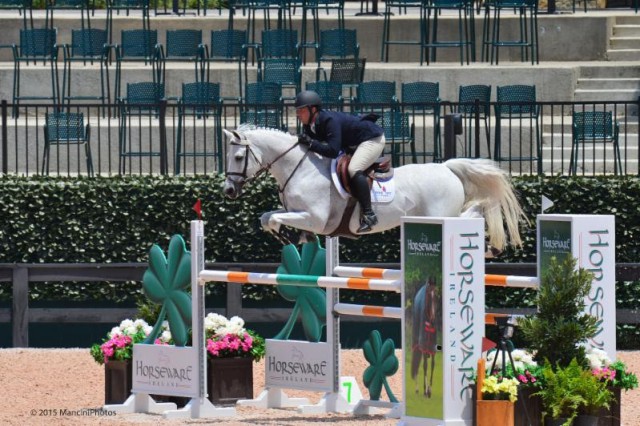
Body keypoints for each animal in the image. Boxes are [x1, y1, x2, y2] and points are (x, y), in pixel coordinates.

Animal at [221, 126, 524, 250]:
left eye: (238, 157)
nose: (228, 191)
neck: (301, 167)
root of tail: (447, 168)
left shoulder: (316, 219)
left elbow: (273, 219)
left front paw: (285, 235)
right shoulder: (296, 212)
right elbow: (266, 217)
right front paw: (289, 238)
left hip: (442, 216)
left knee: (473, 214)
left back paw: (492, 244)